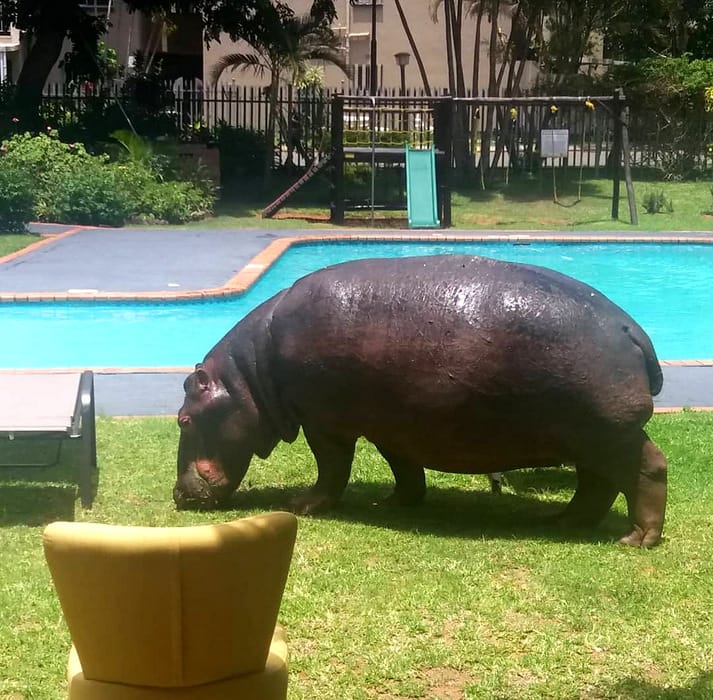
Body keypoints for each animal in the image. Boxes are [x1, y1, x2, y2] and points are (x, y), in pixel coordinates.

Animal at [175, 254, 667, 547]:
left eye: (182, 420)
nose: (177, 494)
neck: (249, 376)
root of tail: (630, 328)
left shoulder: (324, 423)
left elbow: (331, 467)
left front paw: (304, 505)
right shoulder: (394, 423)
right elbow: (403, 465)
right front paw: (393, 503)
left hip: (607, 432)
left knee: (647, 468)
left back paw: (636, 539)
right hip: (589, 436)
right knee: (598, 483)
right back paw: (565, 522)